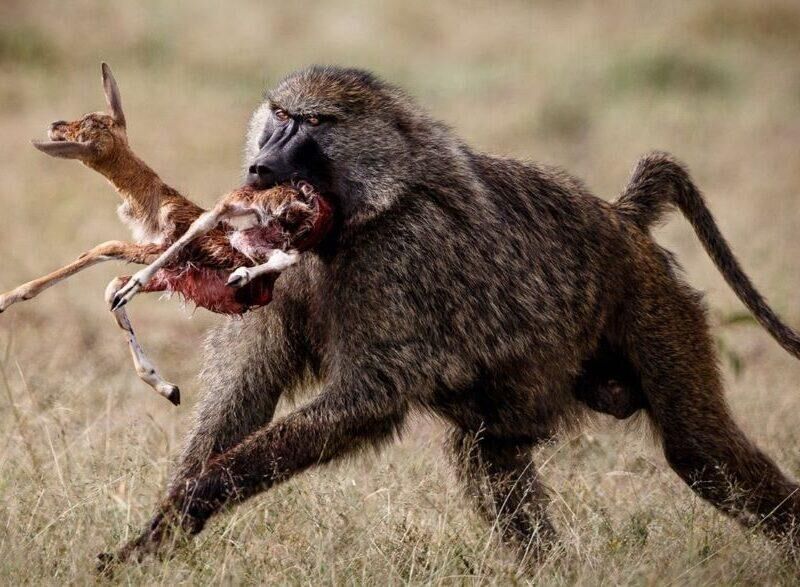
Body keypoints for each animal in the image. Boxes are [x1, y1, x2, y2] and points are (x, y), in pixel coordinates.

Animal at [98, 66, 800, 569]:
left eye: (313, 125)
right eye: (279, 119)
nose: (260, 166)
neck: (352, 223)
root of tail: (620, 220)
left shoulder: (400, 254)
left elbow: (369, 398)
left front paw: (203, 490)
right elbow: (246, 388)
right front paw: (161, 530)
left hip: (654, 307)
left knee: (700, 451)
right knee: (486, 452)